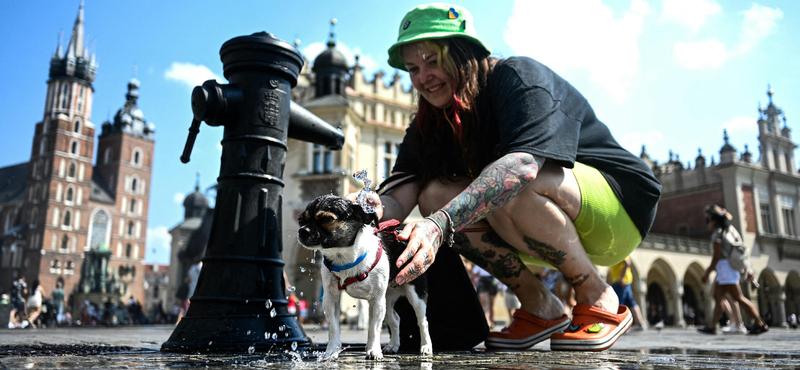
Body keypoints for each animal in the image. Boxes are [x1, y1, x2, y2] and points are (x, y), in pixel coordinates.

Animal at [296, 195, 432, 360]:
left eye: (327, 219)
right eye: (301, 221)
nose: (302, 231)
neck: (344, 257)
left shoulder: (376, 301)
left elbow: (374, 328)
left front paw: (373, 350)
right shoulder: (331, 299)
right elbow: (334, 328)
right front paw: (331, 351)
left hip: (414, 294)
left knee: (422, 321)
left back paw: (426, 347)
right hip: (387, 298)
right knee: (395, 319)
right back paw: (393, 345)